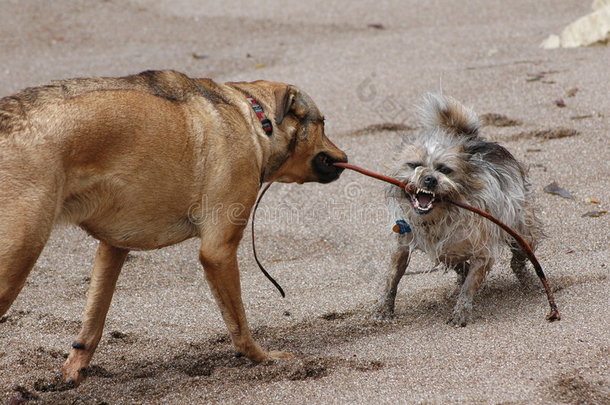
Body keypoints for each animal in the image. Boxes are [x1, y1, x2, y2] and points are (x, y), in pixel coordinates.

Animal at [0, 69, 346, 386]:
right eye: (323, 123)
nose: (345, 157)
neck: (255, 118)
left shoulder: (113, 248)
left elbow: (93, 320)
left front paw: (74, 369)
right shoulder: (218, 252)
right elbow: (238, 322)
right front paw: (262, 358)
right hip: (20, 254)